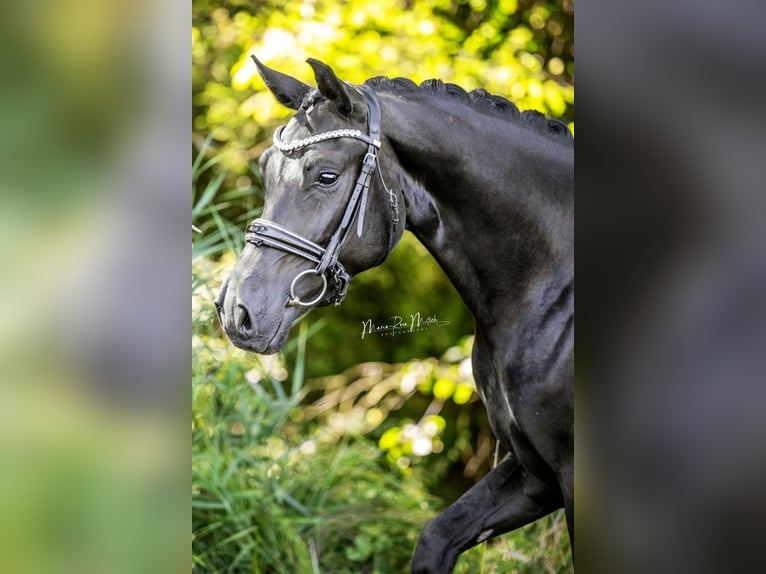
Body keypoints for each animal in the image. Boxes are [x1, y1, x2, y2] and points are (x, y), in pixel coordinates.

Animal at [218, 57, 576, 572]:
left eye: (326, 176)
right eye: (266, 169)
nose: (236, 311)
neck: (549, 284)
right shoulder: (535, 472)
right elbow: (435, 536)